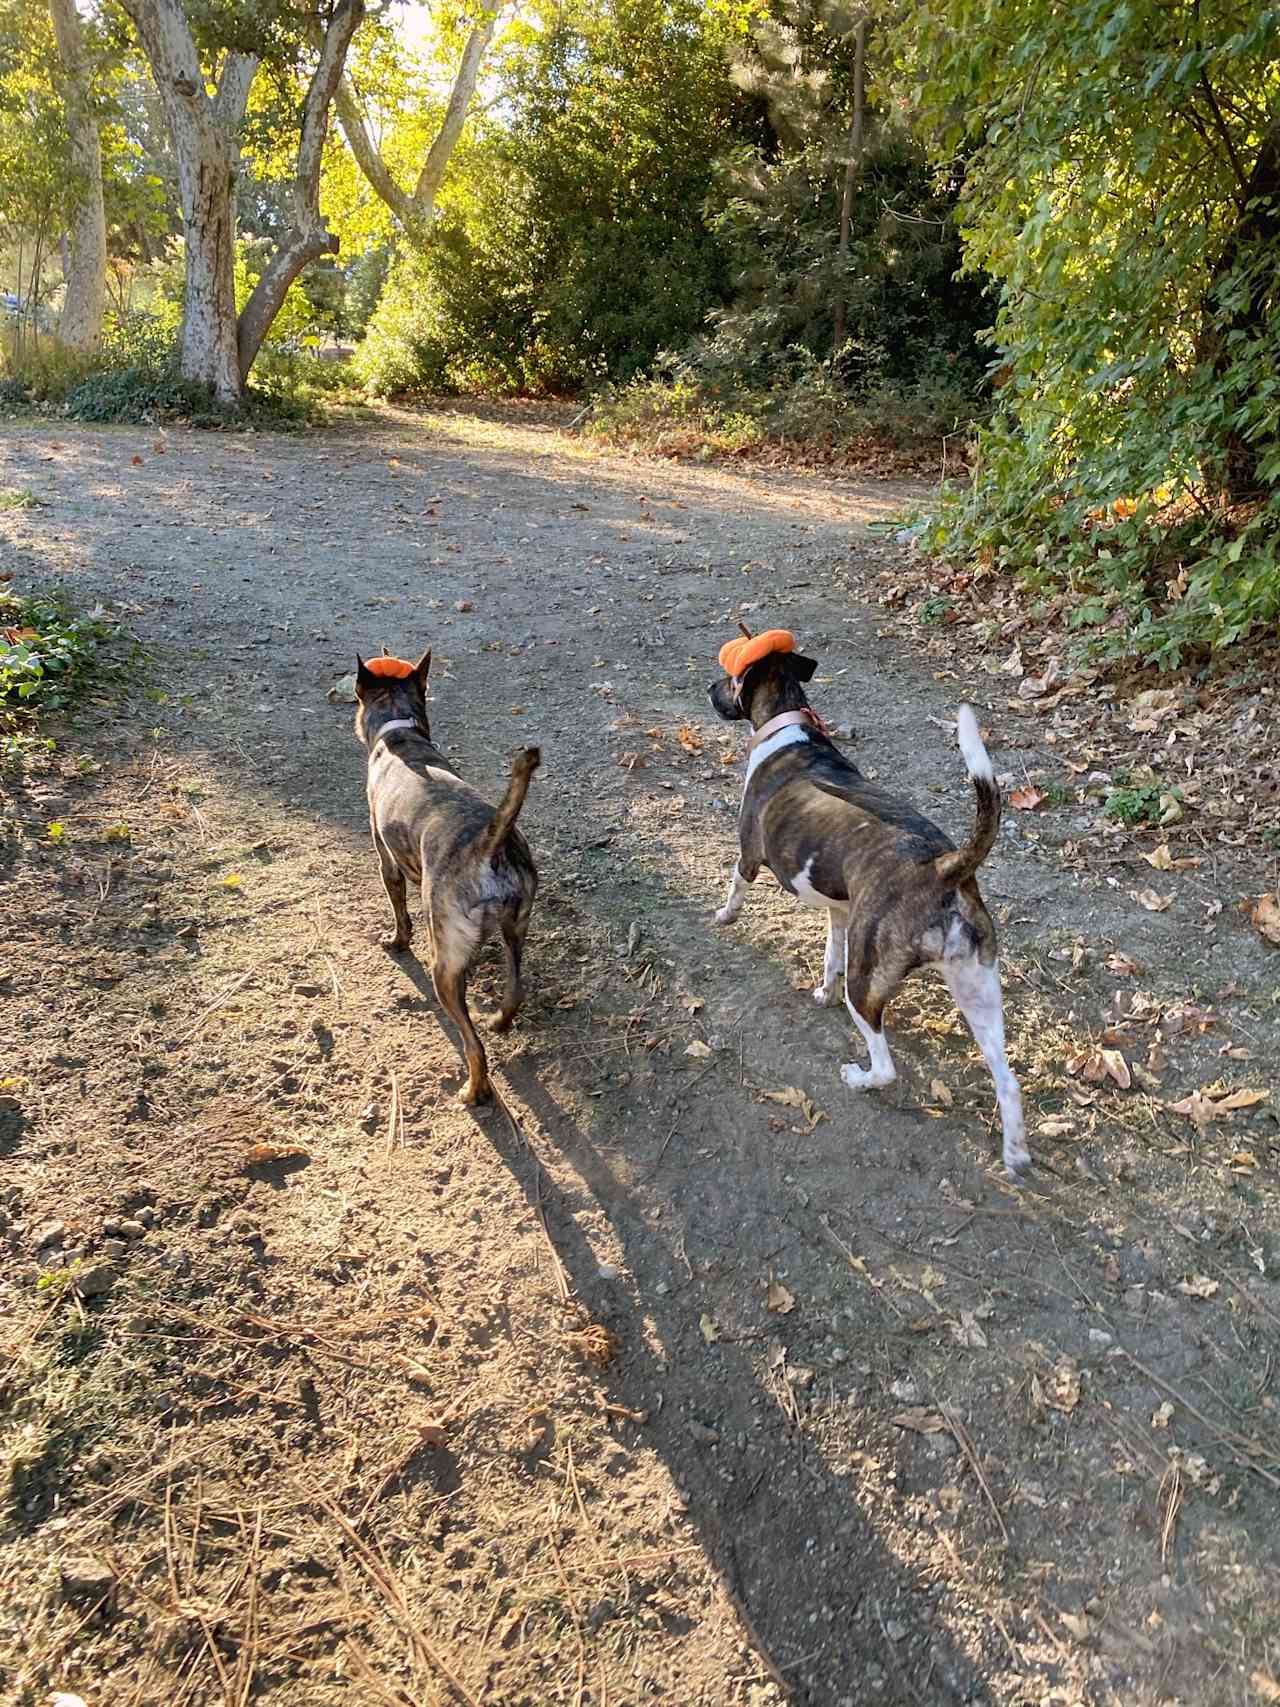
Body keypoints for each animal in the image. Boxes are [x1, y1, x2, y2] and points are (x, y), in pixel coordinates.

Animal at [713, 628, 1030, 1174]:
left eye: (729, 677)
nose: (710, 689)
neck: (788, 727)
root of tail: (944, 867)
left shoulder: (749, 855)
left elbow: (736, 887)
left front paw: (725, 914)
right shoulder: (841, 912)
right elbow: (829, 956)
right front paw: (821, 990)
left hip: (868, 986)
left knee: (885, 1067)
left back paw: (859, 1078)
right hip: (978, 990)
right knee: (1008, 1083)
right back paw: (1015, 1155)